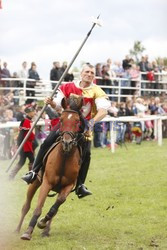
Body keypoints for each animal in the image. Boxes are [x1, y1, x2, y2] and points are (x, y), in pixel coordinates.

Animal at [17, 96, 83, 240]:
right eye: (61, 119)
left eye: (77, 121)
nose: (67, 143)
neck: (64, 158)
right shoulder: (46, 183)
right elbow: (38, 208)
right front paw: (28, 231)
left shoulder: (67, 186)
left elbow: (56, 206)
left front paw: (42, 222)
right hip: (35, 182)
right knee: (26, 206)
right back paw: (18, 229)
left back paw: (46, 230)